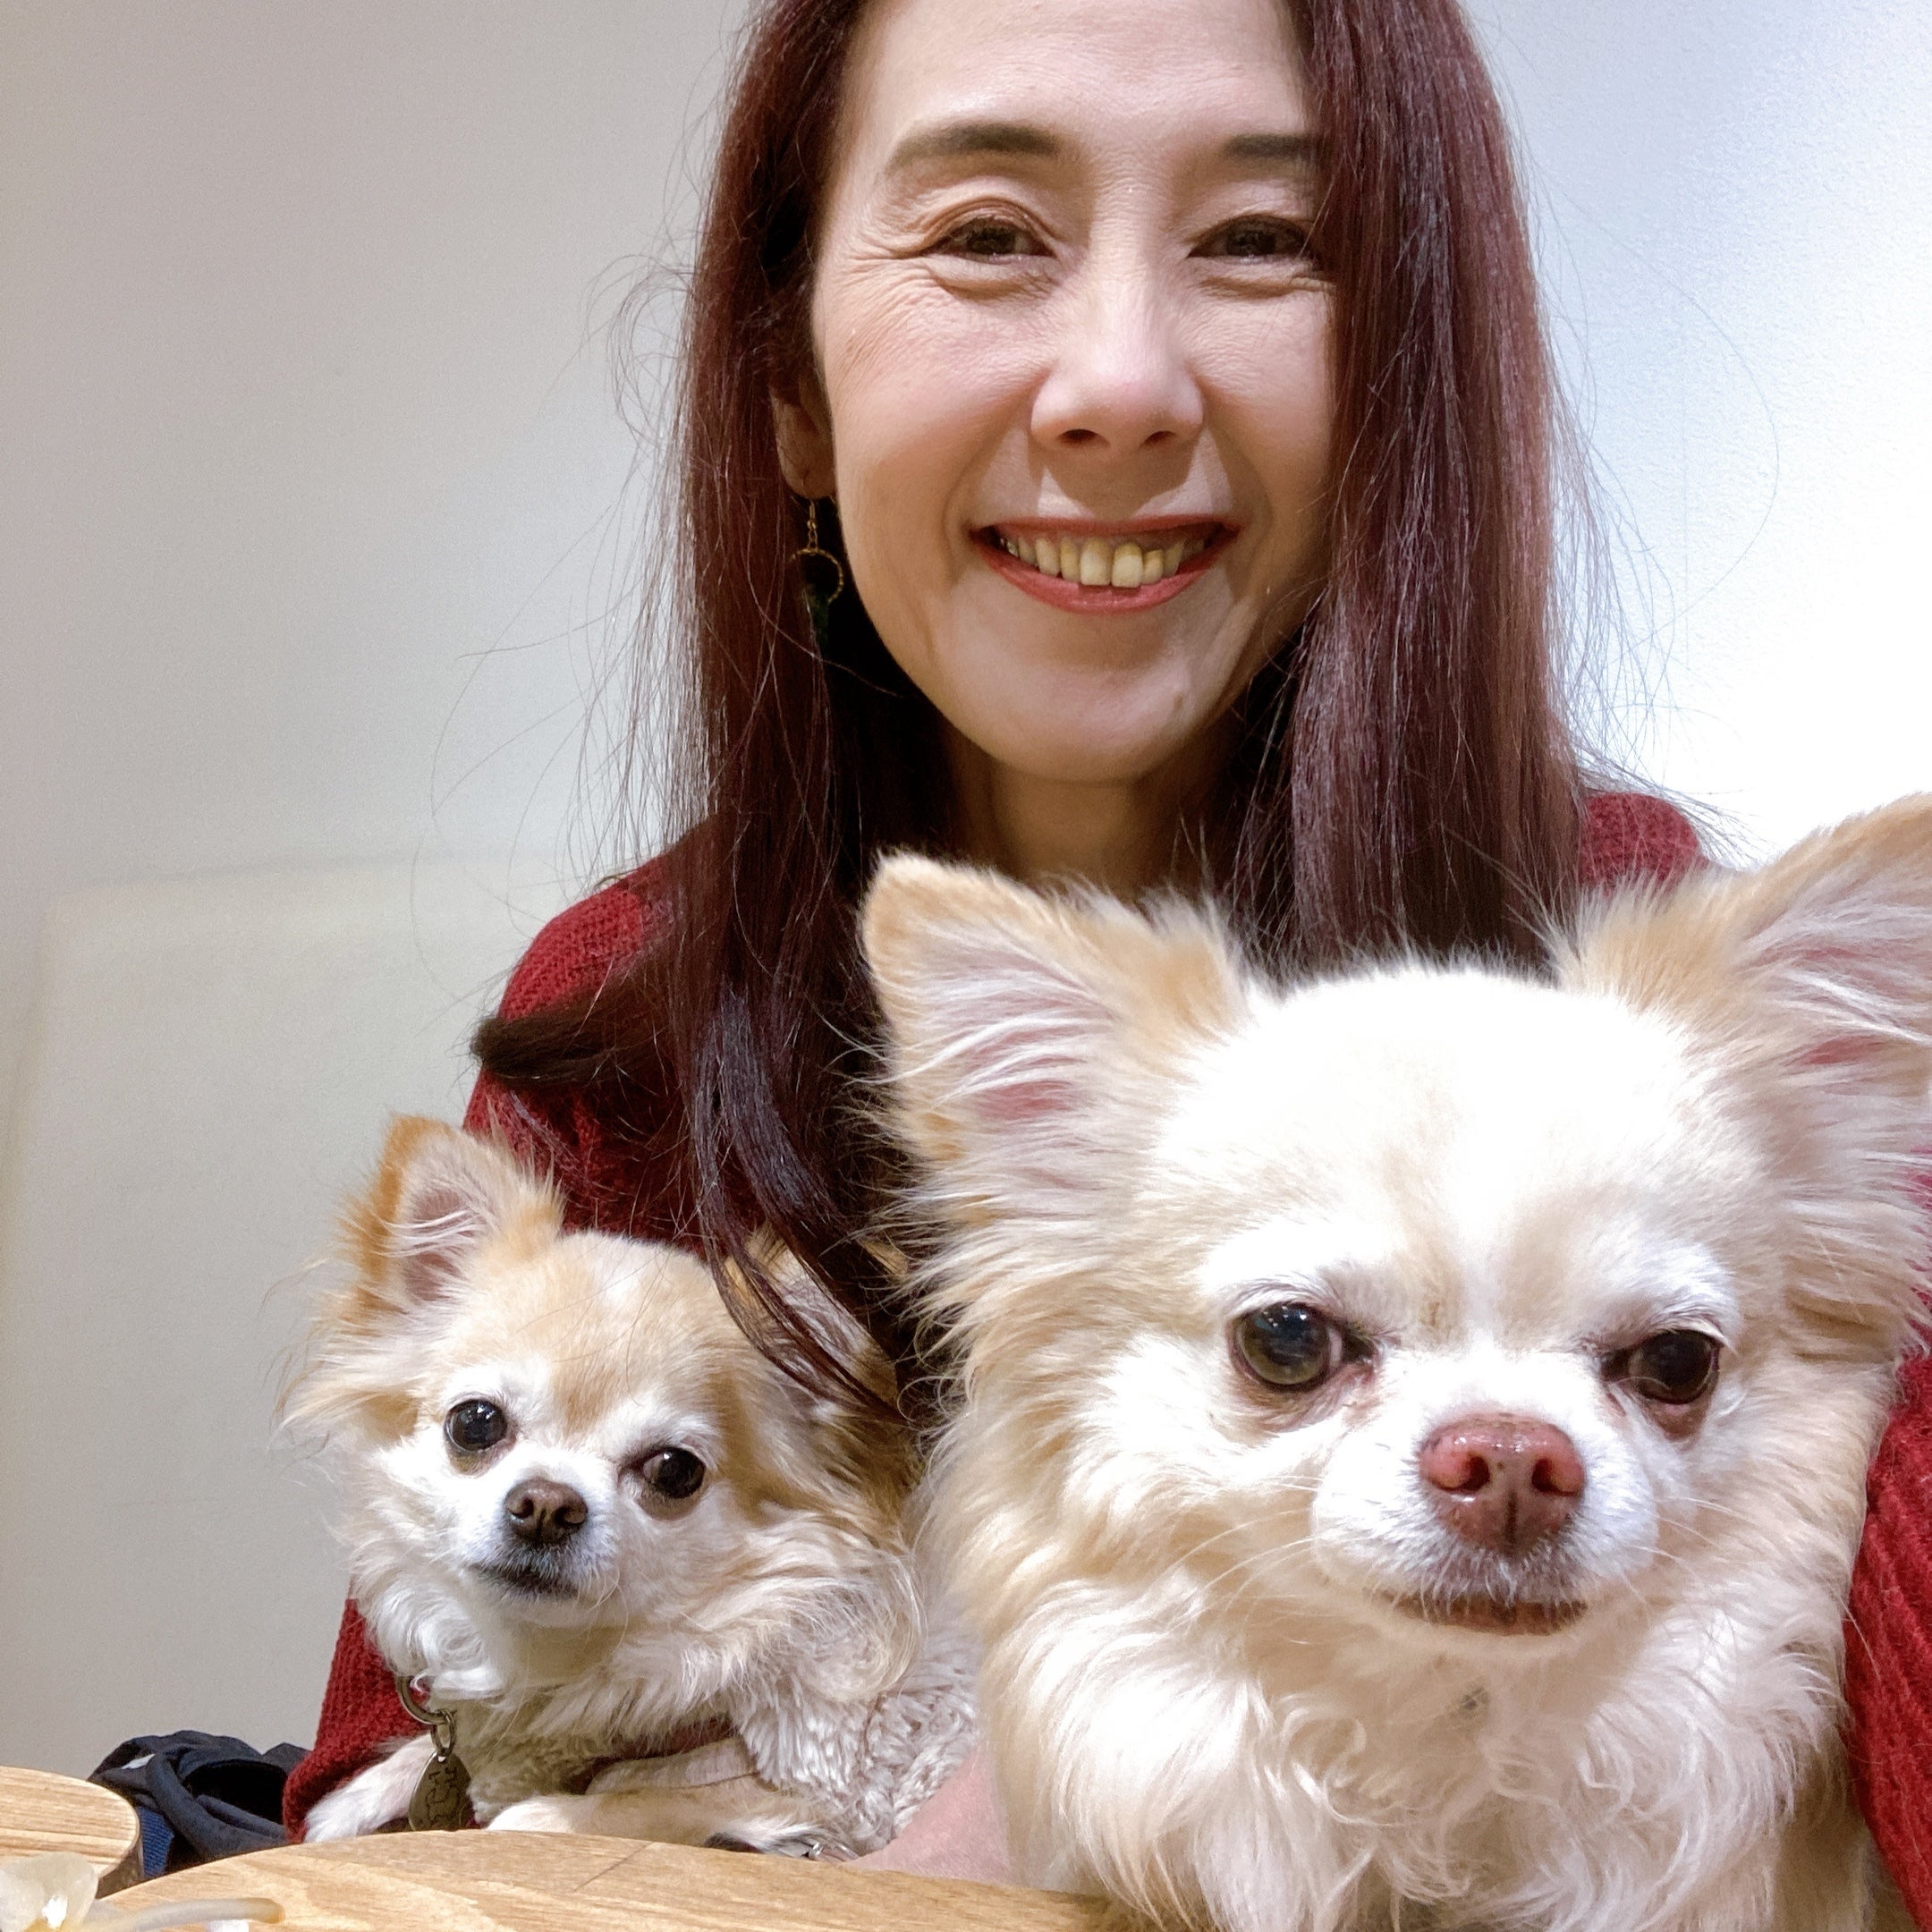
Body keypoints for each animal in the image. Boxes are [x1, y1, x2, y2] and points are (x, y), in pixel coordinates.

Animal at [288, 1117, 975, 1852]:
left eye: (673, 1471)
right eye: (476, 1424)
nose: (546, 1505)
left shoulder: (834, 1787)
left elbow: (651, 1799)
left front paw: (546, 1817)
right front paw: (361, 1795)